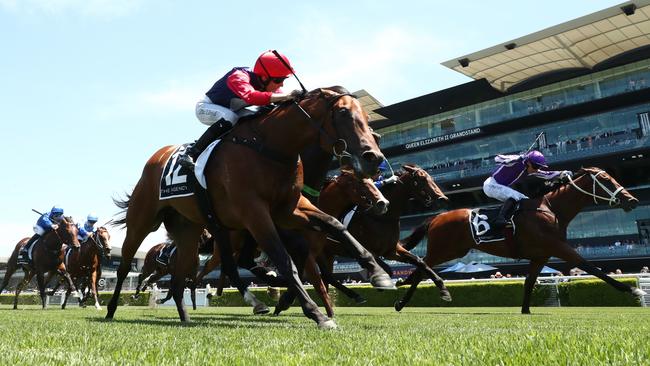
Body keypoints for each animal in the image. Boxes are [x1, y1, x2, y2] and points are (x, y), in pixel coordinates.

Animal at [107, 88, 390, 328]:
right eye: (342, 113)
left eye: (367, 117)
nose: (374, 158)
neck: (270, 146)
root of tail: (156, 157)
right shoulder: (255, 213)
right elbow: (286, 262)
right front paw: (317, 313)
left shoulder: (288, 210)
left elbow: (335, 225)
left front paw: (378, 272)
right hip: (142, 221)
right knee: (126, 266)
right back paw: (111, 309)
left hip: (190, 230)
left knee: (183, 278)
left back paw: (187, 316)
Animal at [272, 163, 450, 314]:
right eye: (420, 179)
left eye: (430, 176)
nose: (442, 198)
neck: (381, 218)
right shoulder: (369, 250)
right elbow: (387, 268)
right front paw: (385, 283)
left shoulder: (392, 250)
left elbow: (421, 262)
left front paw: (443, 290)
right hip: (321, 252)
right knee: (319, 275)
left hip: (327, 253)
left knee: (325, 276)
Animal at [394, 167, 644, 314]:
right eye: (606, 180)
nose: (632, 200)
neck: (551, 208)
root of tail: (437, 217)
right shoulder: (559, 248)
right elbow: (591, 267)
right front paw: (633, 290)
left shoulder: (541, 255)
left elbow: (529, 282)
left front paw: (525, 310)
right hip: (445, 250)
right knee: (422, 266)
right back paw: (404, 296)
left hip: (452, 250)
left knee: (421, 268)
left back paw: (402, 288)